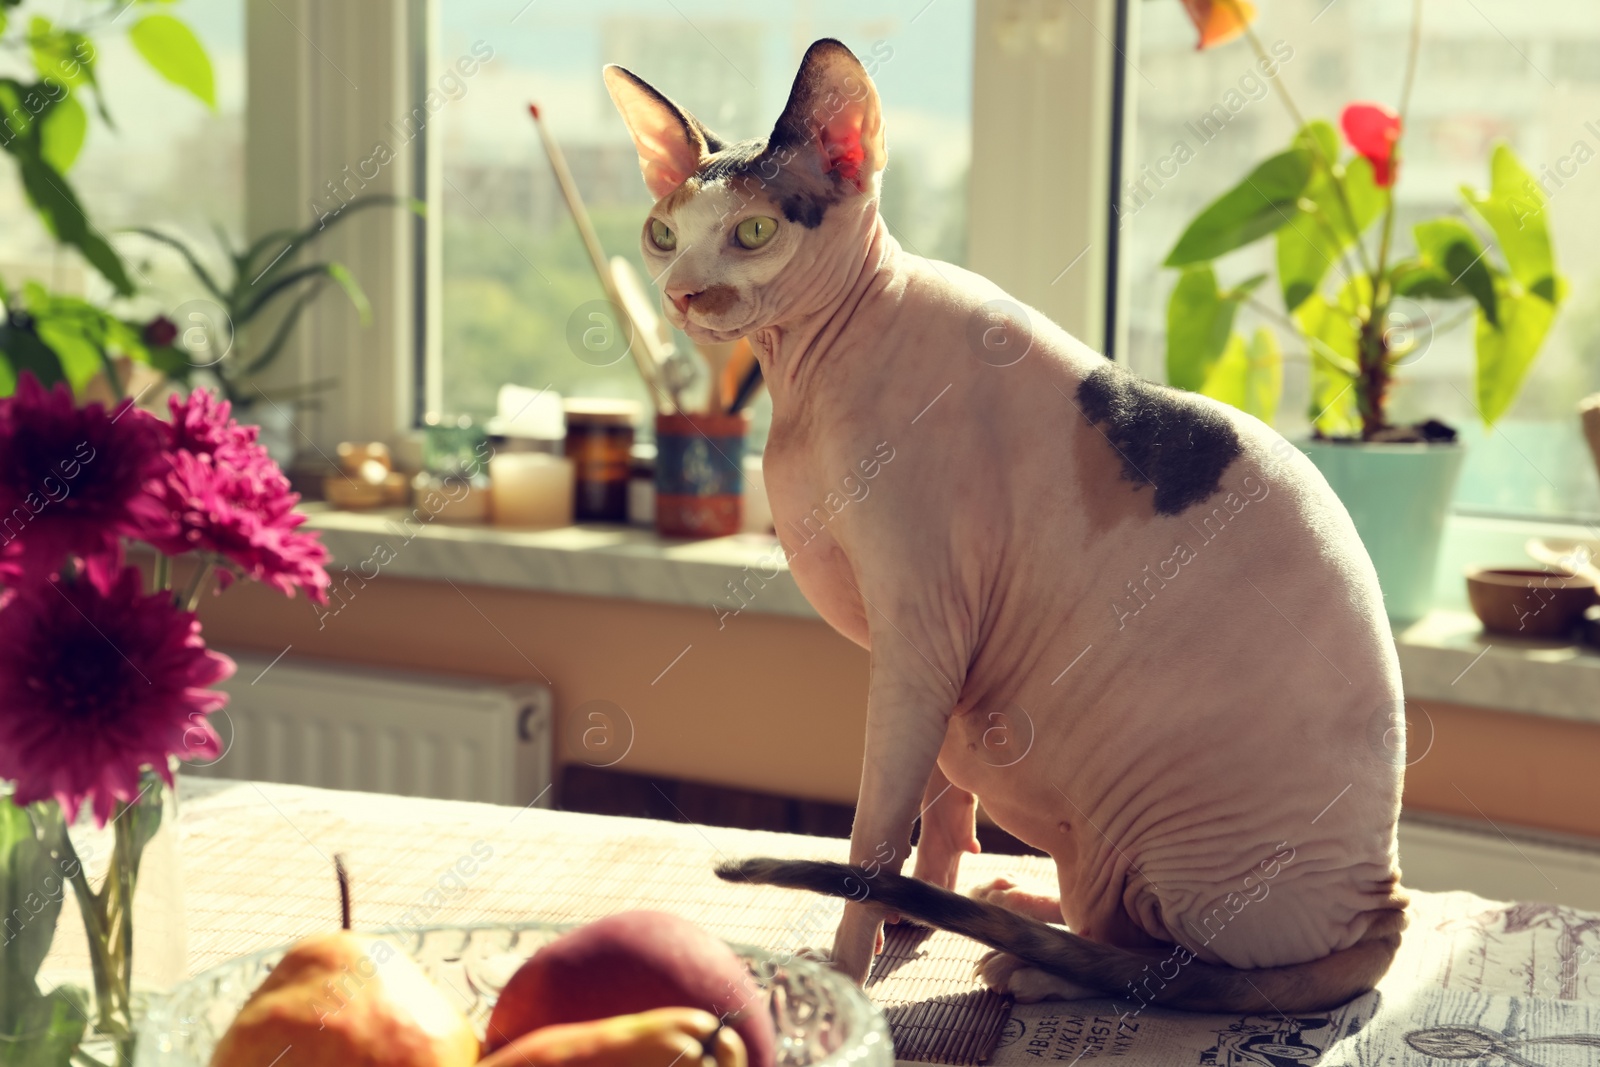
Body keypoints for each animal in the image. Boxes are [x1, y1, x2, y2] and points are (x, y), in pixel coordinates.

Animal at [604, 39, 1408, 1011]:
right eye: (663, 234)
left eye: (753, 234)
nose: (684, 296)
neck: (806, 372)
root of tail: (1385, 903)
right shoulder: (927, 655)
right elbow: (937, 809)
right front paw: (917, 910)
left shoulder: (923, 634)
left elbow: (871, 841)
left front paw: (846, 972)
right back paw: (1015, 906)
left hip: (1132, 819)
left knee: (1155, 962)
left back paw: (1029, 959)